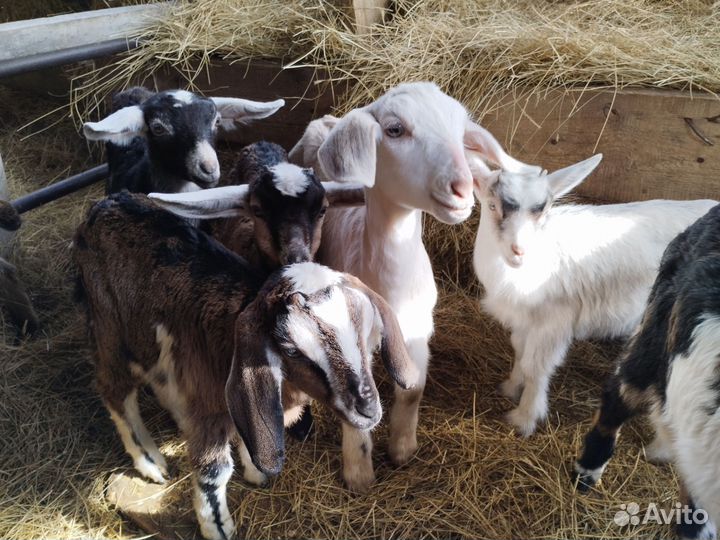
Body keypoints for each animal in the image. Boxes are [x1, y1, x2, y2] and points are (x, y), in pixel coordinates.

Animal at [73, 192, 415, 540]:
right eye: (291, 350)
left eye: (366, 332)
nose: (368, 410)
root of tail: (106, 204)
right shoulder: (208, 407)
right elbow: (214, 471)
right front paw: (217, 527)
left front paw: (254, 471)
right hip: (110, 330)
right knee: (114, 390)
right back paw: (150, 462)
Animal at [289, 81, 538, 492]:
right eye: (394, 130)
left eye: (461, 133)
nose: (462, 188)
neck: (392, 283)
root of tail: (330, 121)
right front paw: (359, 472)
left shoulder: (419, 330)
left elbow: (413, 388)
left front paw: (403, 449)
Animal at [467, 149, 717, 437]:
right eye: (492, 205)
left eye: (543, 210)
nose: (519, 251)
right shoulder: (523, 320)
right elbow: (519, 350)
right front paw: (510, 387)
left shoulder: (554, 321)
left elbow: (536, 367)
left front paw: (524, 418)